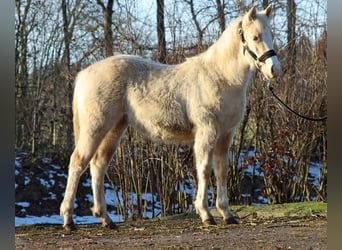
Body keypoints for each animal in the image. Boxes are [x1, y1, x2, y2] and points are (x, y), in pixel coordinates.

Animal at [60, 4, 280, 230]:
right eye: (255, 37)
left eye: (271, 35)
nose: (274, 69)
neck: (220, 77)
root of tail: (84, 74)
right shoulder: (207, 132)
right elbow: (204, 169)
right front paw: (205, 214)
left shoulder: (226, 135)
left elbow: (221, 171)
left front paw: (226, 213)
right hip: (95, 128)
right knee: (78, 163)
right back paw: (68, 220)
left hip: (114, 129)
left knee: (98, 165)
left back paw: (105, 218)